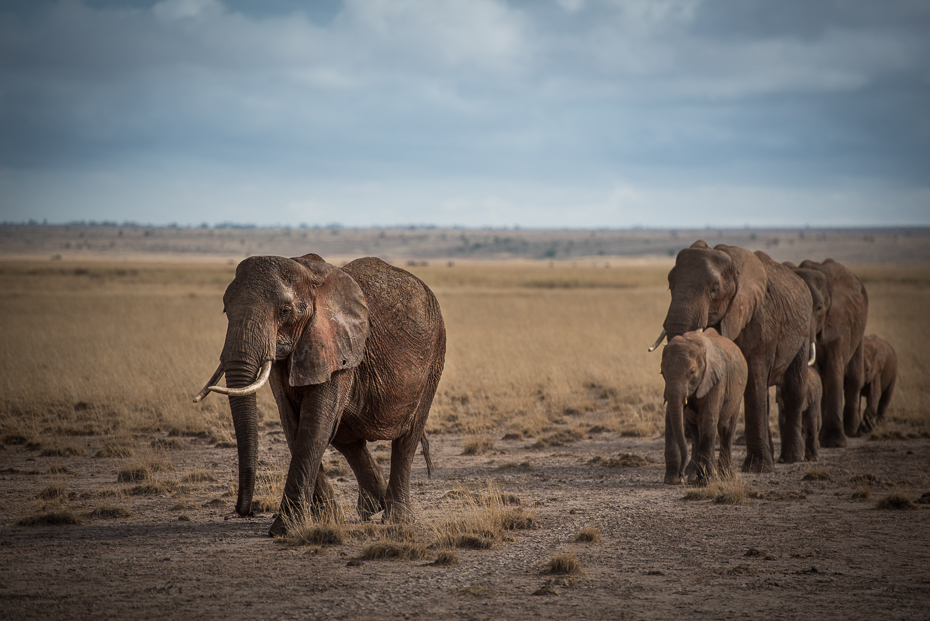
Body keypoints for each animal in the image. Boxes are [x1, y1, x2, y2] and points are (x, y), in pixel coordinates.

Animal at [190, 254, 444, 536]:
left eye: (285, 311)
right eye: (226, 310)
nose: (246, 510)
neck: (309, 277)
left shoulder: (339, 348)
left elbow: (315, 424)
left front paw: (283, 529)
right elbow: (293, 423)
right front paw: (325, 521)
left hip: (434, 358)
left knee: (406, 438)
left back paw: (396, 519)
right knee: (347, 437)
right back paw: (373, 506)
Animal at [660, 326, 748, 482]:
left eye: (692, 372)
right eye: (662, 373)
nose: (681, 475)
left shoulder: (717, 379)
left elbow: (708, 419)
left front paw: (705, 482)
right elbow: (671, 418)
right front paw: (672, 481)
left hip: (737, 395)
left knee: (726, 430)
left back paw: (725, 477)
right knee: (696, 432)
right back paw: (695, 476)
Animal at [788, 258, 868, 446]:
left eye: (819, 308)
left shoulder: (839, 321)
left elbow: (834, 370)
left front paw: (835, 442)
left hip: (858, 328)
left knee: (853, 376)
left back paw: (851, 430)